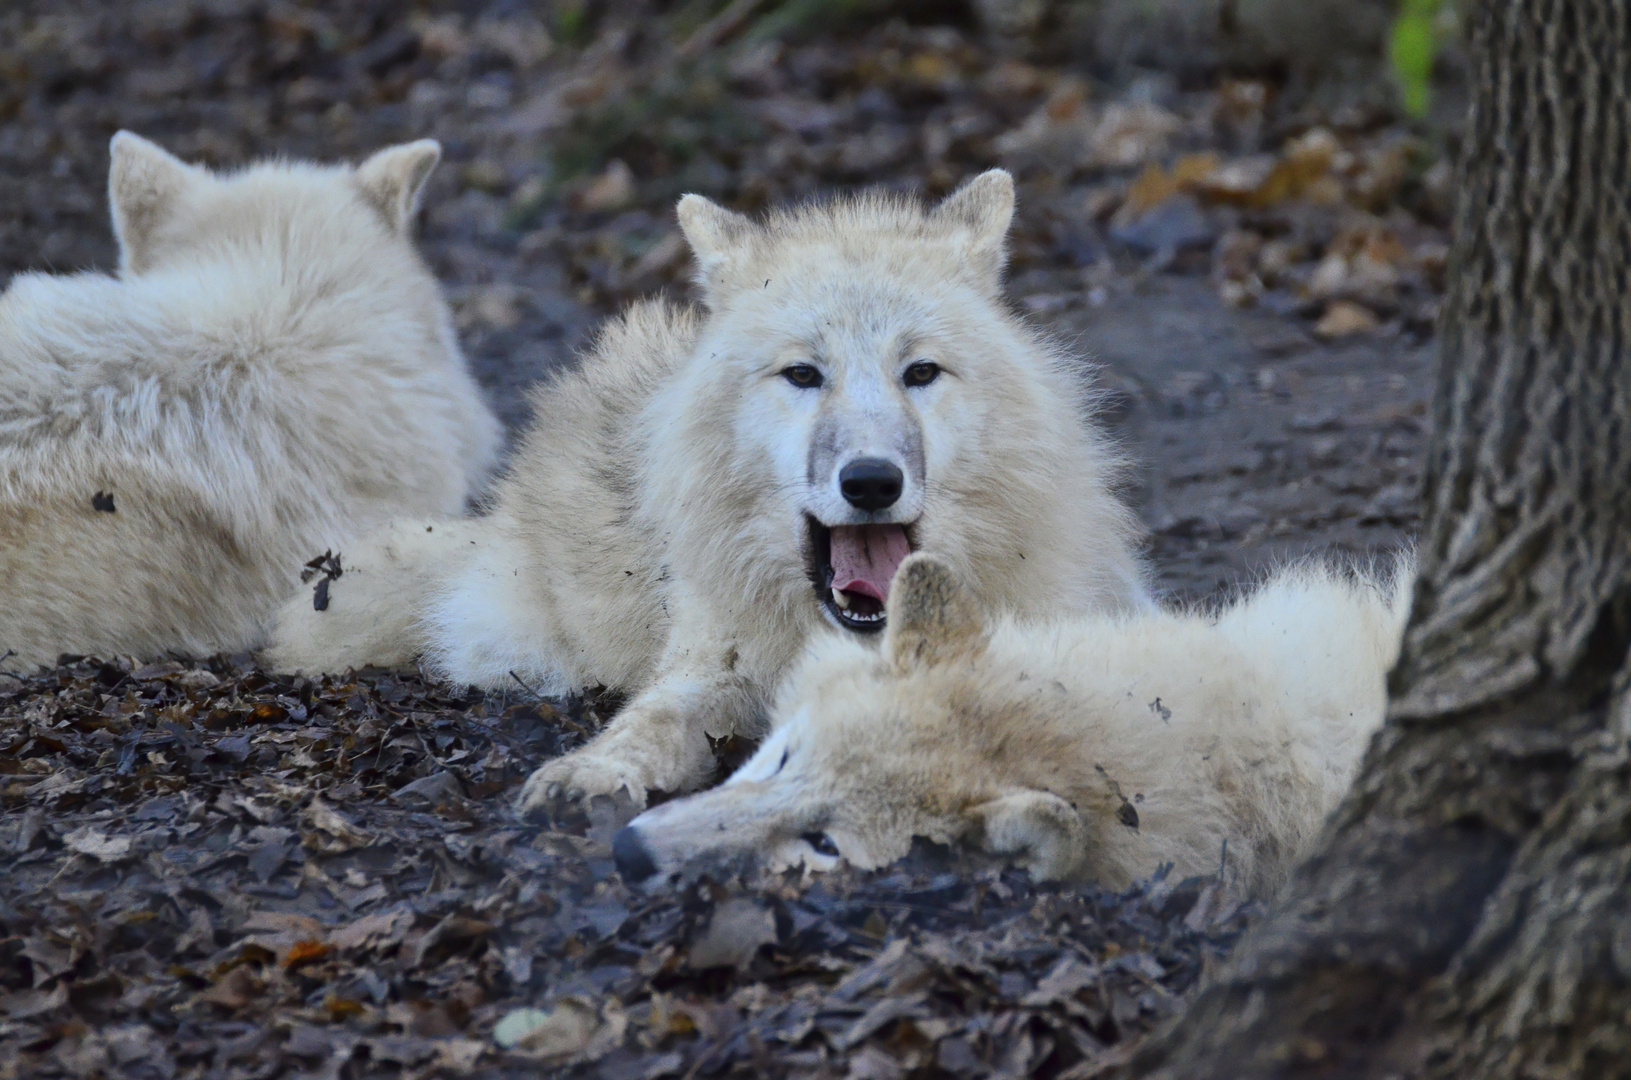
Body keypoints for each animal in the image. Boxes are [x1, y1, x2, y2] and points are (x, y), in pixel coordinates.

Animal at [267, 171, 1154, 812]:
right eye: (803, 375)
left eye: (920, 372)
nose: (871, 481)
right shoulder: (707, 666)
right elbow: (651, 719)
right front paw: (591, 773)